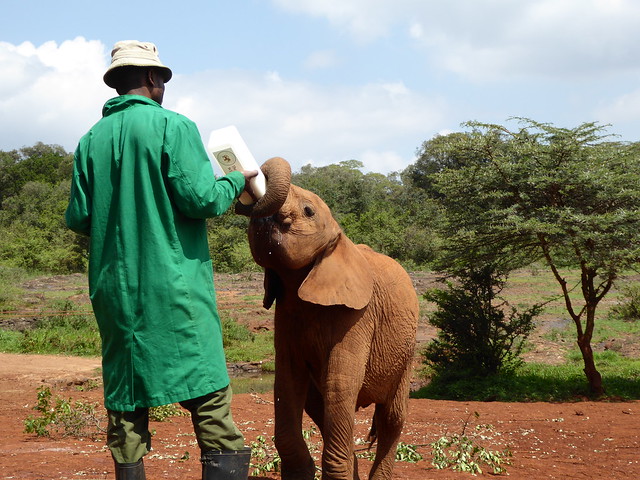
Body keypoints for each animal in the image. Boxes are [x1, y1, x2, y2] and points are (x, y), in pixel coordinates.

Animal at [237, 157, 419, 480]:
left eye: (309, 211)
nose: (251, 186)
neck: (339, 237)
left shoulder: (359, 317)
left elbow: (340, 383)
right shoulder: (286, 314)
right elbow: (287, 380)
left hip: (406, 354)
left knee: (392, 419)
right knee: (319, 408)